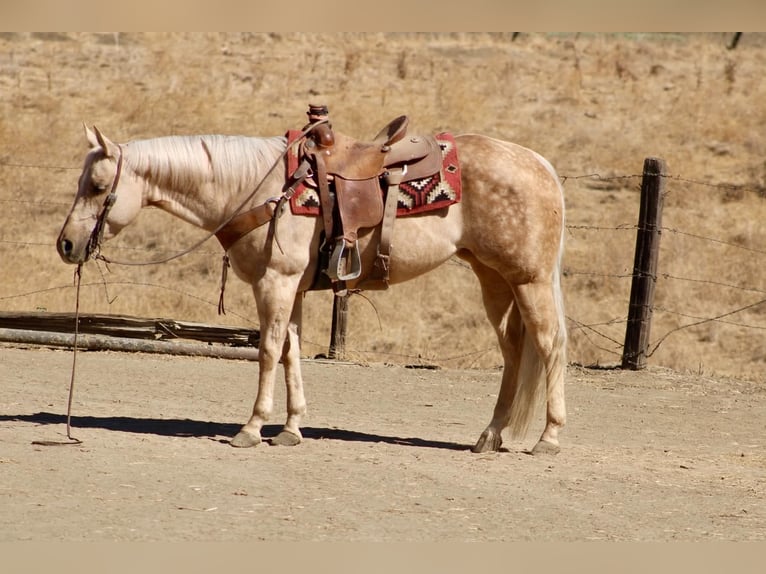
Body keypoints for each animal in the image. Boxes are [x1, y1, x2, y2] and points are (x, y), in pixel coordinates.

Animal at [57, 122, 567, 455]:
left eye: (98, 185)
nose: (66, 244)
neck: (258, 187)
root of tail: (541, 164)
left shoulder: (275, 283)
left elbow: (267, 352)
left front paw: (251, 428)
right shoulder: (293, 289)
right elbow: (291, 353)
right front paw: (291, 428)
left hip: (530, 280)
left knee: (549, 345)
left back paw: (549, 438)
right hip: (494, 281)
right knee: (514, 353)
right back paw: (490, 436)